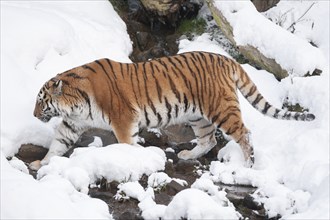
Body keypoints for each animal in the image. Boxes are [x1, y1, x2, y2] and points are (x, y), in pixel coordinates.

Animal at [30, 51, 314, 170]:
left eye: (41, 101)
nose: (33, 115)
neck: (76, 102)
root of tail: (226, 58)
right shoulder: (72, 123)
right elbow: (57, 144)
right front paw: (41, 163)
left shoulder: (123, 119)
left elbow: (126, 143)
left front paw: (132, 159)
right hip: (199, 117)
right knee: (209, 140)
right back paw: (188, 155)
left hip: (222, 109)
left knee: (245, 134)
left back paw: (248, 165)